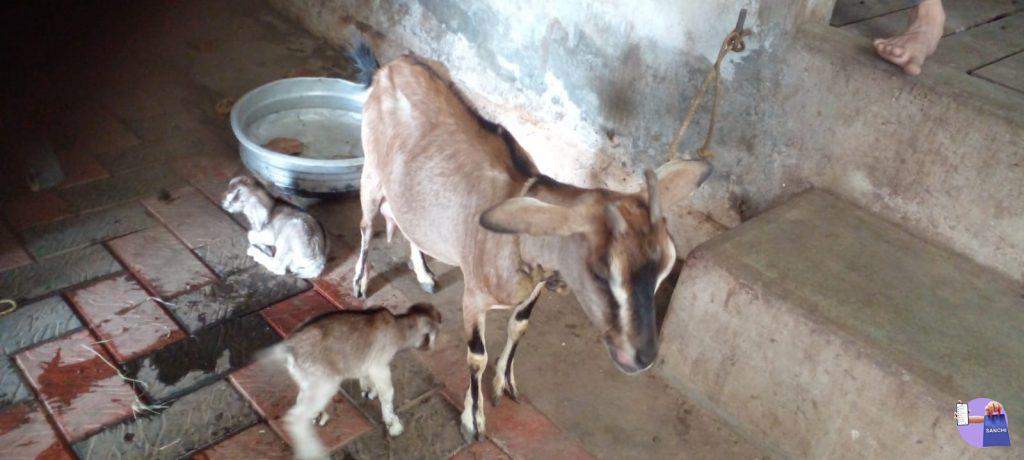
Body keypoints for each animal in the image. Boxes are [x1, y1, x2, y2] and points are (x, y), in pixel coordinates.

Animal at [261, 303, 441, 459]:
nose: (431, 349)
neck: (398, 328)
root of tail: (289, 347)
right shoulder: (379, 366)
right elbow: (388, 393)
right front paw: (392, 424)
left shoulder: (367, 364)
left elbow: (367, 379)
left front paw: (369, 391)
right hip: (326, 383)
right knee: (295, 417)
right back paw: (312, 450)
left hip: (307, 379)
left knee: (301, 401)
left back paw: (317, 416)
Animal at [349, 42, 710, 439]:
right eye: (601, 272)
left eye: (666, 267)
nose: (644, 356)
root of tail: (389, 68)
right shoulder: (473, 297)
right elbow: (477, 355)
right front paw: (473, 420)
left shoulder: (534, 289)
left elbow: (519, 326)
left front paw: (504, 383)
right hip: (371, 172)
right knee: (366, 224)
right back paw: (361, 283)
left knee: (407, 221)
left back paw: (425, 274)